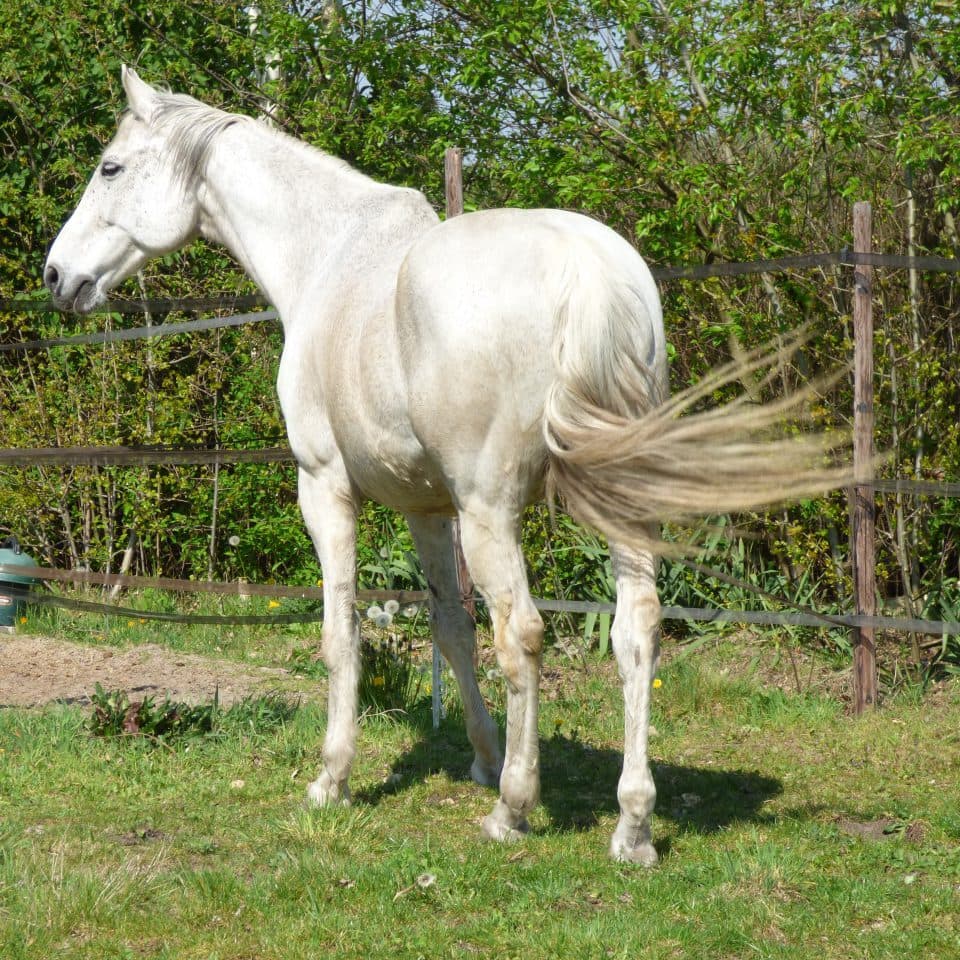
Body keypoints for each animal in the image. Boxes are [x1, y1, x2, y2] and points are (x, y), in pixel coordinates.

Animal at [45, 67, 843, 864]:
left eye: (110, 168)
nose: (57, 276)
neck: (328, 255)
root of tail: (584, 271)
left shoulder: (326, 489)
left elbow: (343, 634)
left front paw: (334, 778)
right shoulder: (427, 510)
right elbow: (451, 629)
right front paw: (483, 756)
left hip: (494, 512)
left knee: (522, 634)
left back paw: (513, 810)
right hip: (614, 506)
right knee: (636, 630)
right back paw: (632, 826)